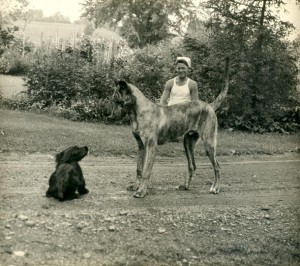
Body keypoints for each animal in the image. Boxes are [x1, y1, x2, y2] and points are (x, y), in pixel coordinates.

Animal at [112, 57, 230, 197]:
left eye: (118, 102)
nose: (111, 116)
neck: (137, 112)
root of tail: (209, 106)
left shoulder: (151, 147)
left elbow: (146, 171)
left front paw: (141, 191)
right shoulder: (141, 146)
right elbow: (139, 168)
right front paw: (135, 186)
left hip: (209, 144)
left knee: (217, 167)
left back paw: (215, 188)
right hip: (188, 143)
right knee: (192, 165)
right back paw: (185, 186)